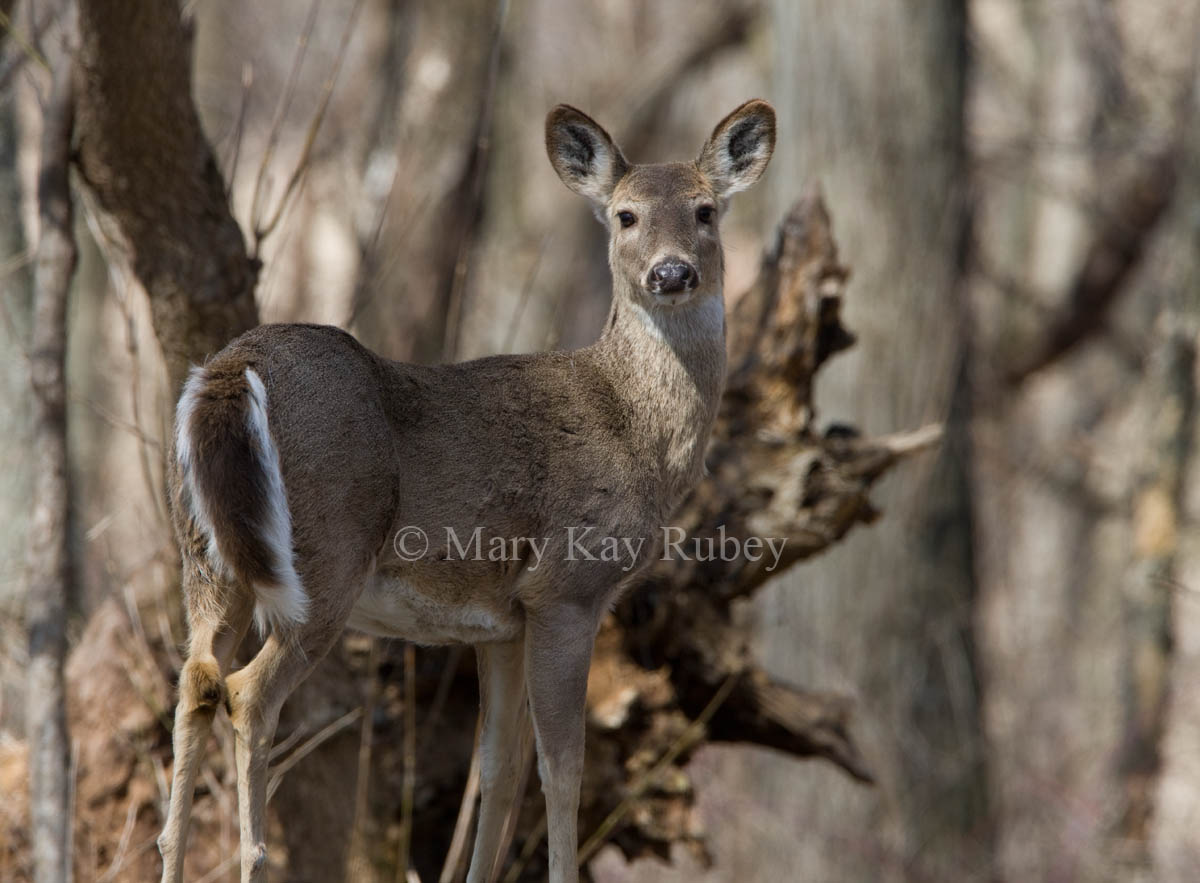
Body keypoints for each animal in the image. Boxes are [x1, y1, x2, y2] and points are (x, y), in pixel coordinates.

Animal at [159, 98, 772, 883]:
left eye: (705, 210)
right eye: (626, 215)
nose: (672, 272)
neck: (631, 425)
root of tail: (230, 372)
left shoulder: (501, 620)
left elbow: (496, 771)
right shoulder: (565, 587)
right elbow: (561, 770)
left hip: (207, 559)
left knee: (195, 681)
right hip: (323, 557)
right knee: (247, 692)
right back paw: (256, 856)